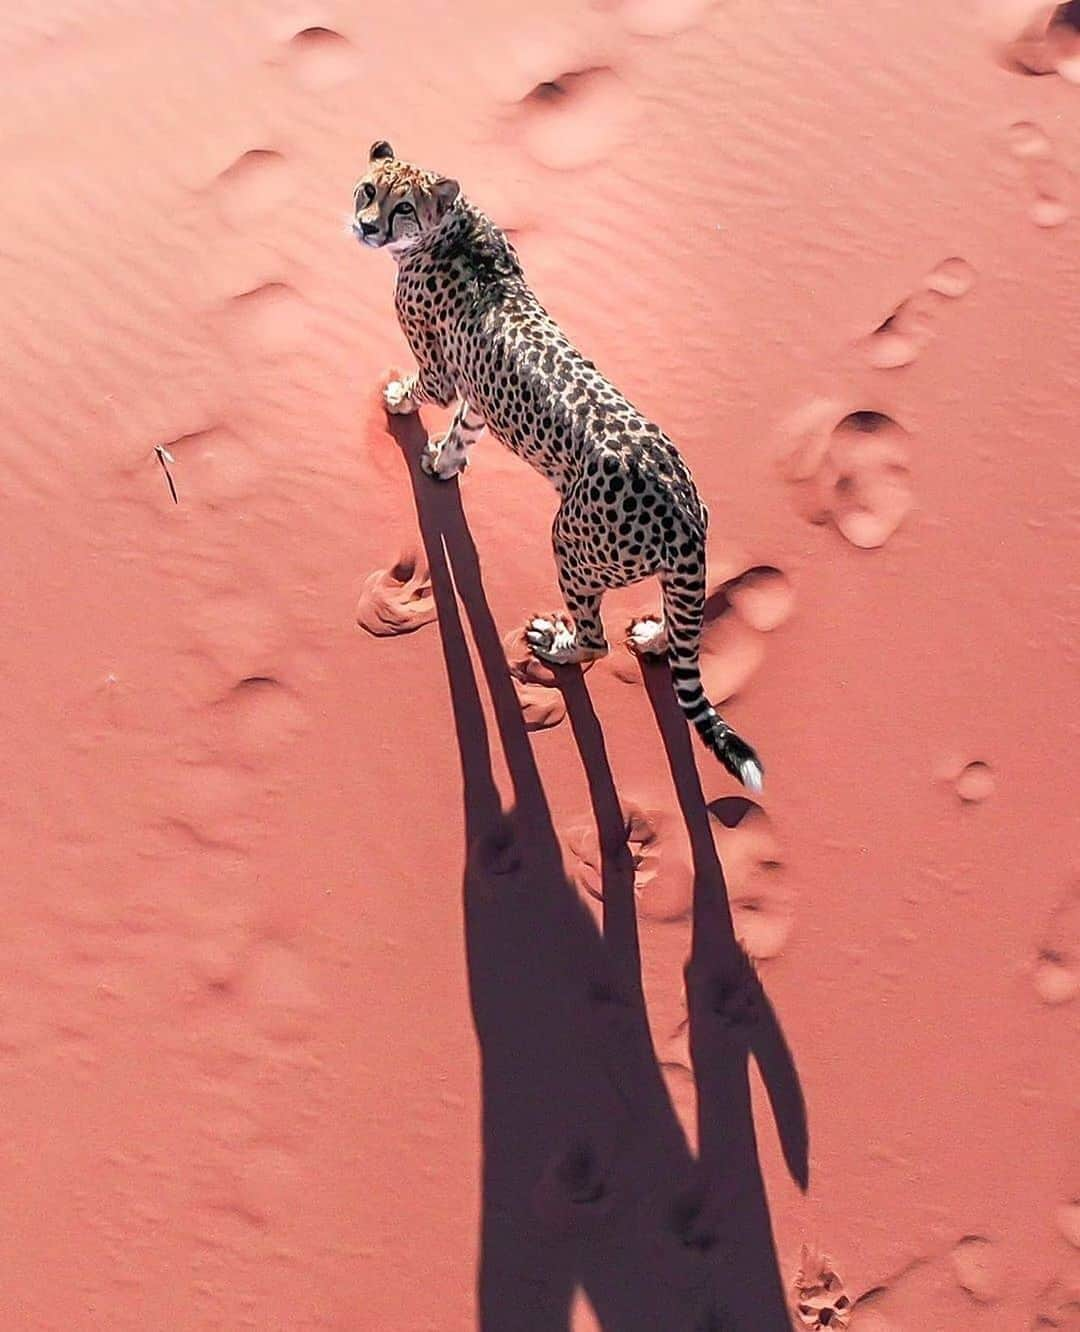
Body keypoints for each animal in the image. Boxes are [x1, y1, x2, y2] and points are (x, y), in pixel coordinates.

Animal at [351, 143, 767, 788]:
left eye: (402, 209)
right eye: (369, 191)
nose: (368, 227)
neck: (451, 226)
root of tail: (681, 508)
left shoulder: (442, 372)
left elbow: (424, 392)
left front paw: (396, 401)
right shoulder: (478, 393)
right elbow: (464, 433)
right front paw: (443, 464)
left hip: (572, 544)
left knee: (596, 641)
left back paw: (559, 645)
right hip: (666, 573)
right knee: (681, 629)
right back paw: (655, 638)